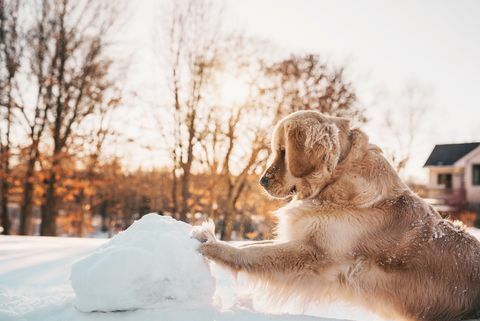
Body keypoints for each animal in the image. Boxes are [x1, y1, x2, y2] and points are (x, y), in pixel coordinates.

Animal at [191, 109, 480, 318]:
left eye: (283, 151)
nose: (262, 181)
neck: (338, 176)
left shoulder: (315, 253)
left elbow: (253, 253)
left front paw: (212, 245)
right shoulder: (305, 240)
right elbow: (253, 245)